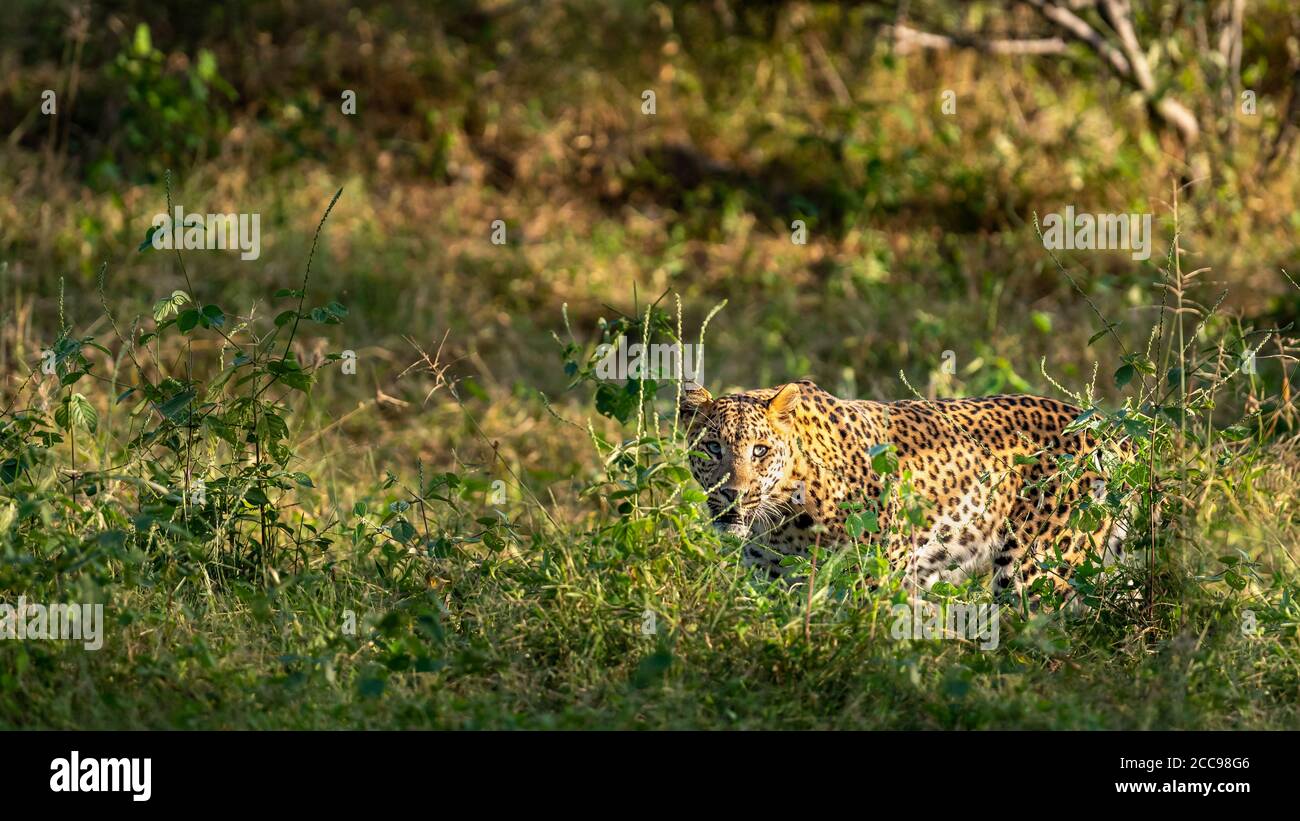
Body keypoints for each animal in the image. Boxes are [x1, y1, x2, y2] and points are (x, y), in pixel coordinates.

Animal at [676, 379, 1133, 602]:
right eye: (712, 447)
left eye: (760, 450)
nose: (733, 494)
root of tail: (1113, 431)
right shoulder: (772, 580)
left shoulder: (870, 577)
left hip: (1035, 570)